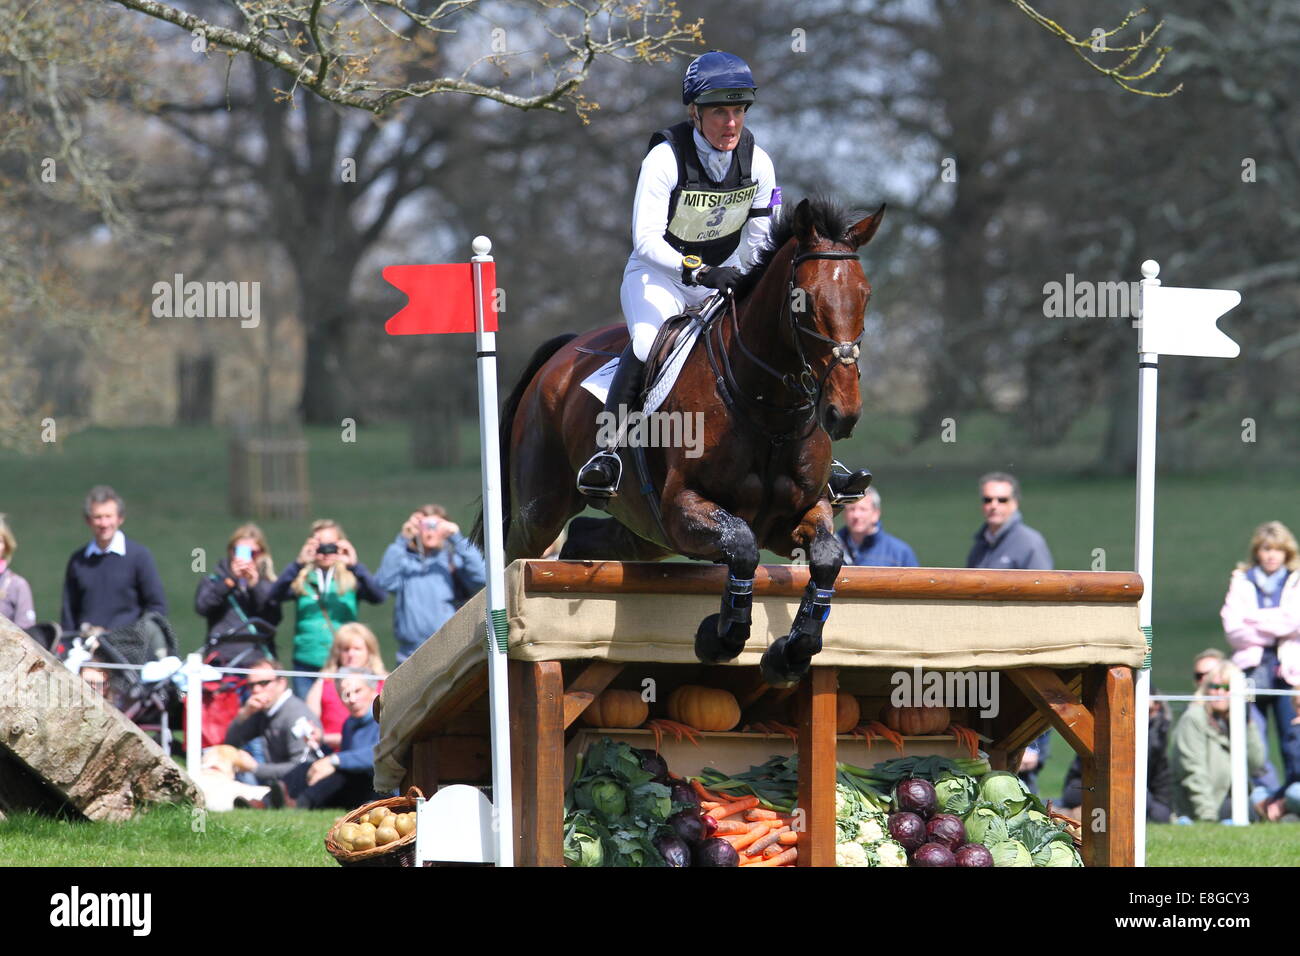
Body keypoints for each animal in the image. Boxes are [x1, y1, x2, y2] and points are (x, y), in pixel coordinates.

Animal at [475, 196, 883, 686]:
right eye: (803, 302)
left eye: (865, 296)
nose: (843, 413)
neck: (766, 411)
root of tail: (563, 353)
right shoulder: (683, 506)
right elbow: (742, 545)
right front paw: (722, 636)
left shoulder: (798, 514)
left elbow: (825, 557)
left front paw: (792, 652)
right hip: (542, 511)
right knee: (517, 554)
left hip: (647, 533)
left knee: (586, 539)